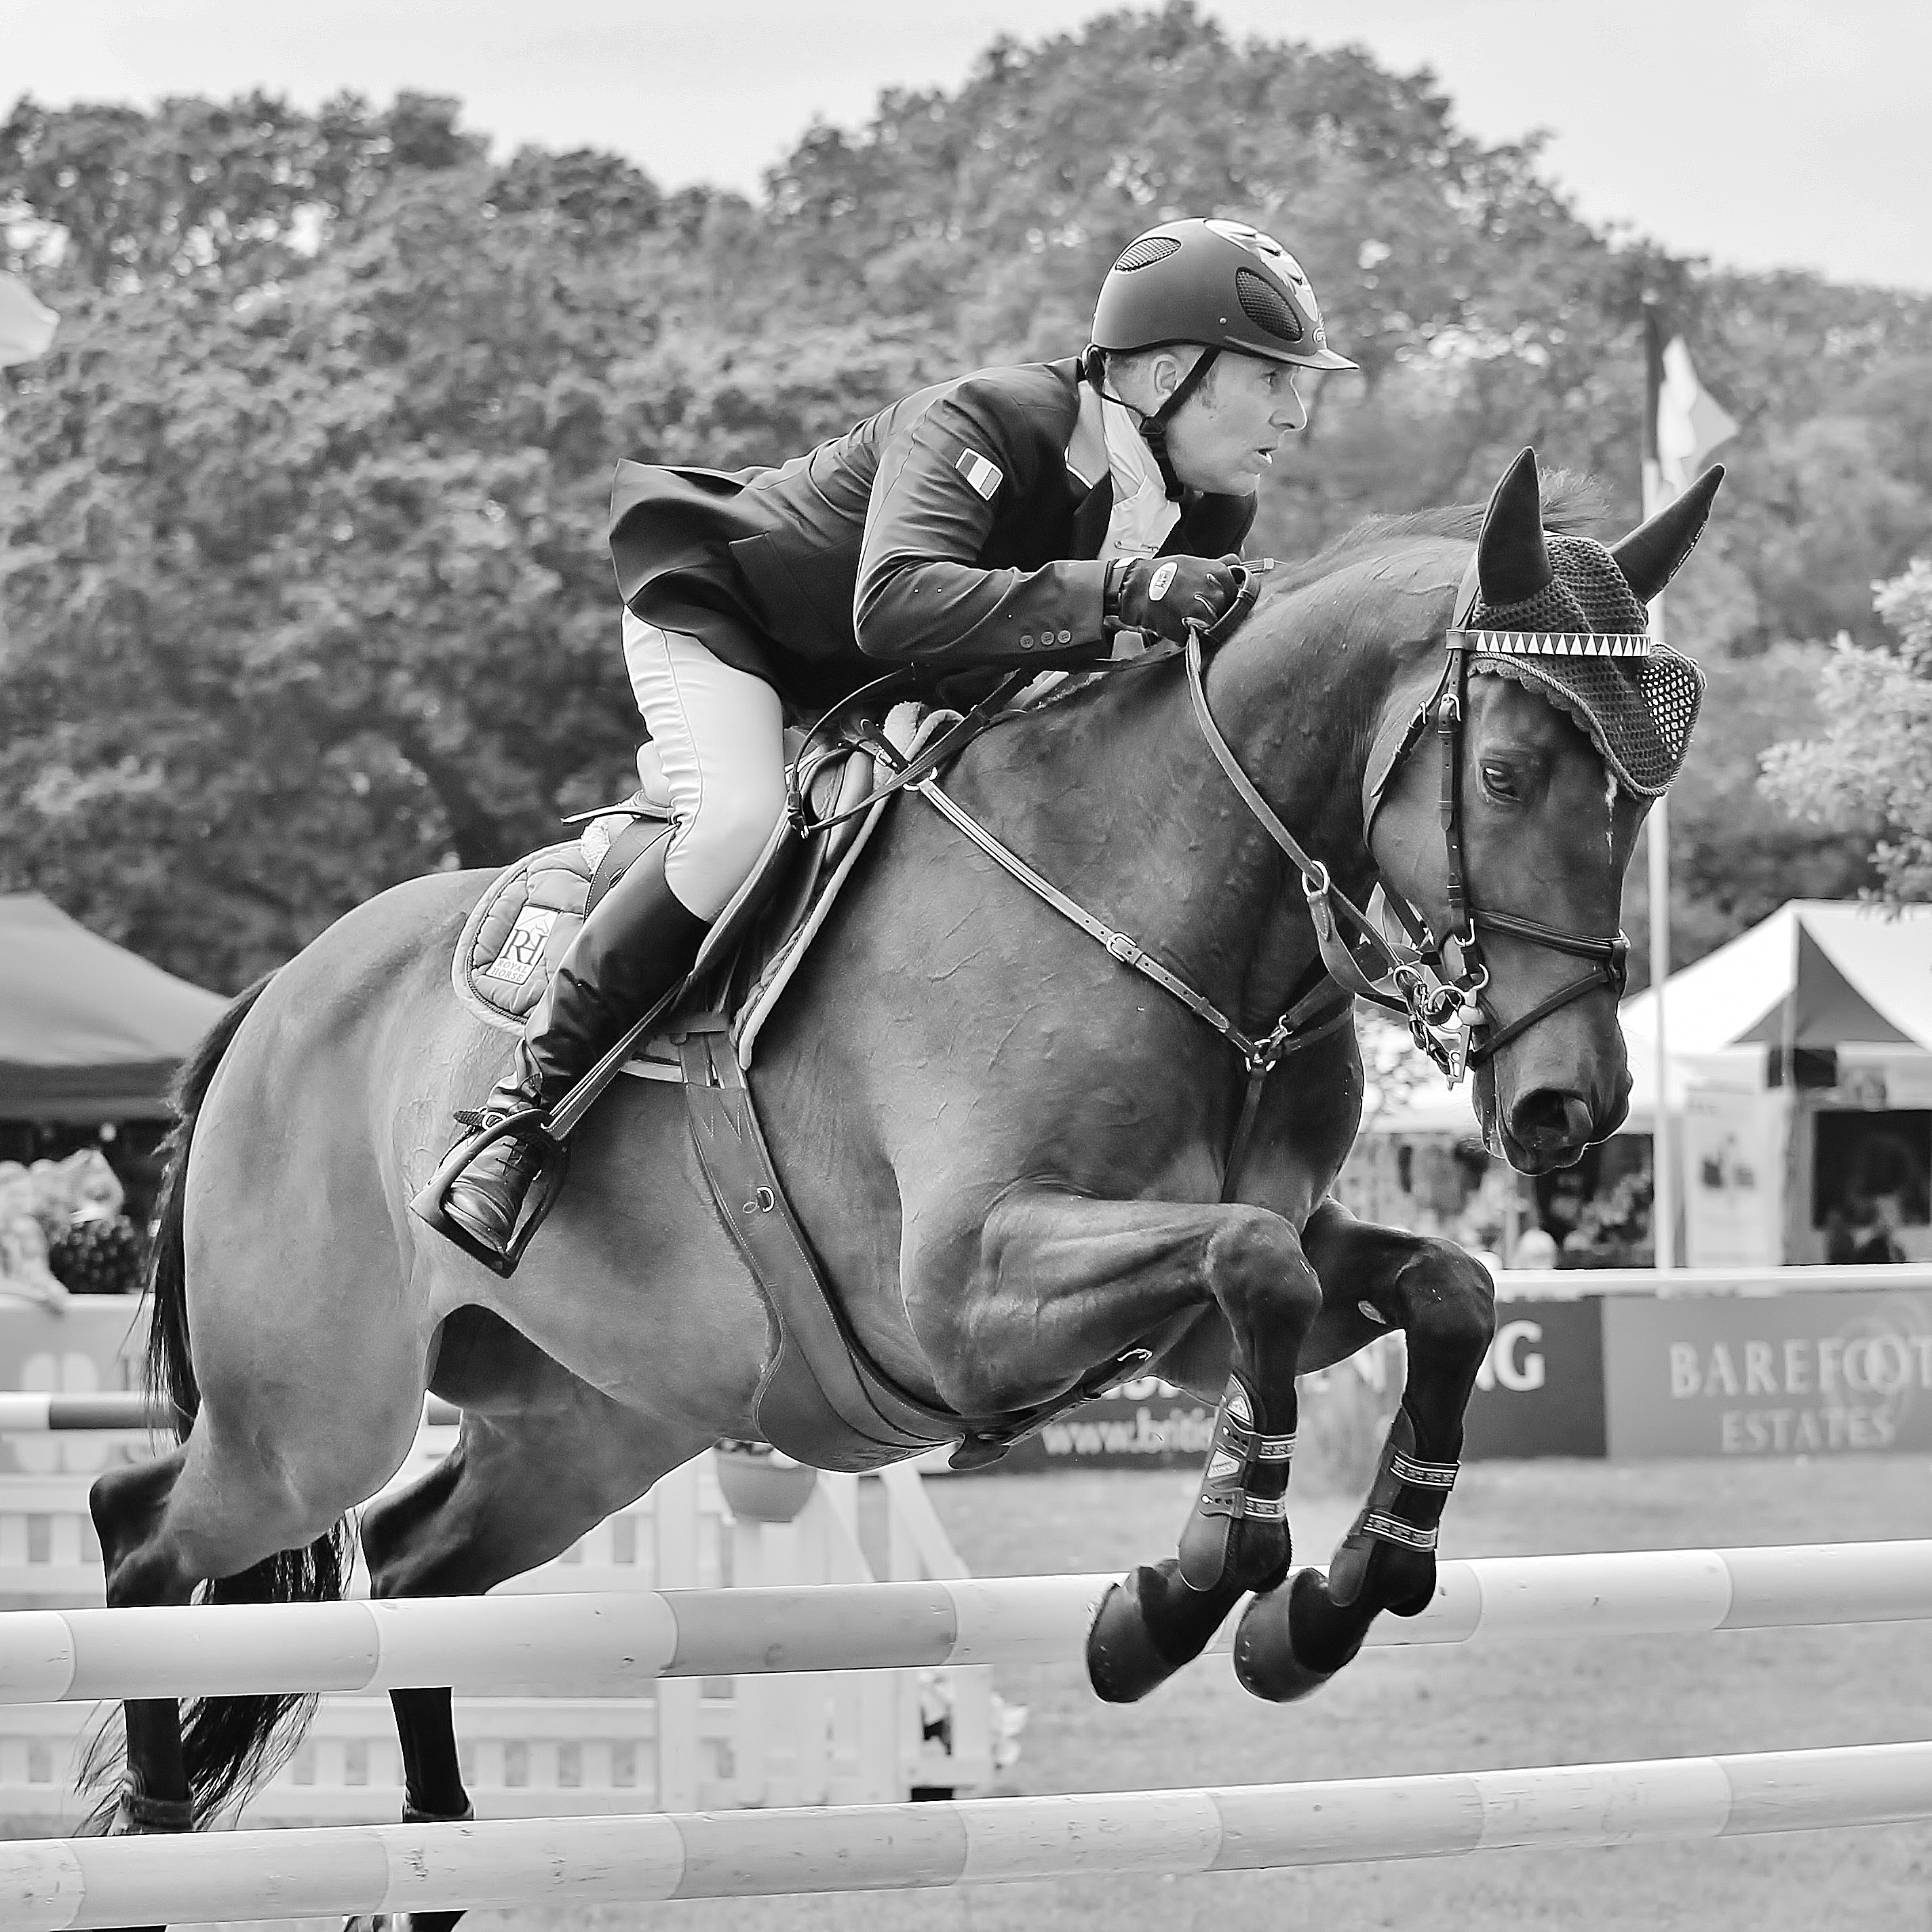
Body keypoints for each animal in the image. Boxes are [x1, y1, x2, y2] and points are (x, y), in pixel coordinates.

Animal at [87, 447, 1720, 1923]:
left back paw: (434, 1864)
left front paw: (1323, 1604)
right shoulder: (961, 1295)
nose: (1569, 1105)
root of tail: (275, 997)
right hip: (313, 1416)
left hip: (587, 1423)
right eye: (1503, 774)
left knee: (418, 1568)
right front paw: (1183, 1591)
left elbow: (1436, 1287)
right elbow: (1256, 1258)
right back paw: (154, 1846)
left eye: (1641, 799)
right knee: (142, 1525)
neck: (1169, 903)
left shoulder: (1195, 1321)